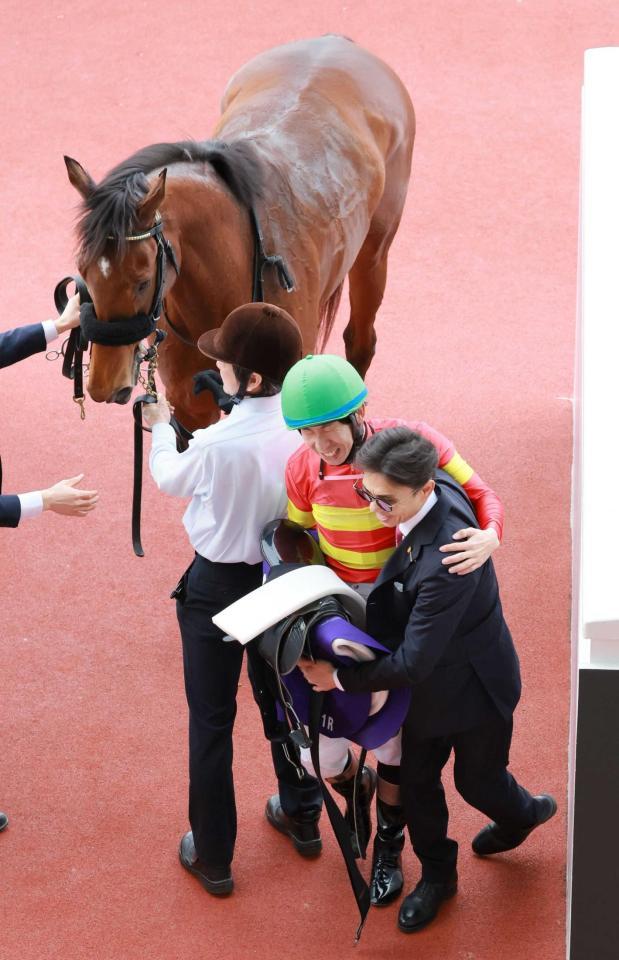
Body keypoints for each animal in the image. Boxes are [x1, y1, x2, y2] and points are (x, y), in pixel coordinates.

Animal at [65, 34, 414, 432]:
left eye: (141, 281)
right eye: (84, 273)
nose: (104, 385)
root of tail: (337, 41)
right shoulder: (191, 403)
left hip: (375, 249)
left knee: (361, 338)